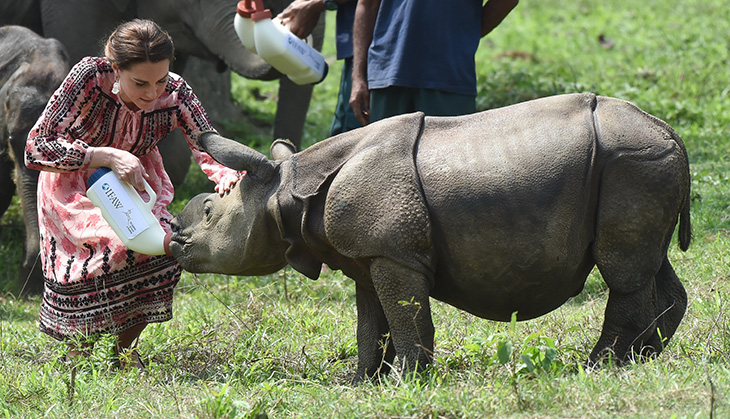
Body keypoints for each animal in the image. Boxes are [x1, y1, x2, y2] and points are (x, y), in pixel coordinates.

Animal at [168, 94, 692, 384]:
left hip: (631, 161)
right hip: (639, 164)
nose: (176, 241)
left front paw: (407, 382)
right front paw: (359, 383)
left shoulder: (394, 251)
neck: (287, 188)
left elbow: (405, 318)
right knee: (645, 263)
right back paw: (646, 358)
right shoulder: (369, 253)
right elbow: (370, 324)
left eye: (210, 213)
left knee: (622, 271)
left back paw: (600, 367)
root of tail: (670, 131)